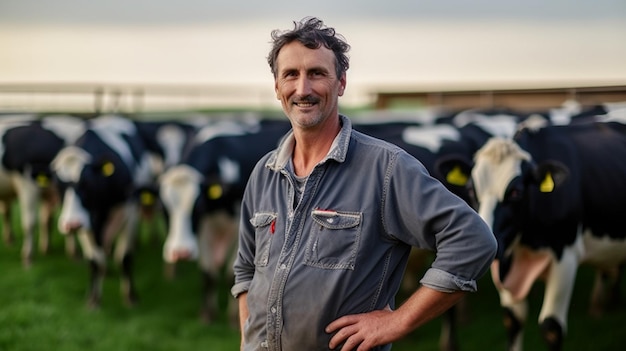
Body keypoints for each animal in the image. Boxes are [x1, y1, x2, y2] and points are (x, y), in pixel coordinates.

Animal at [52, 115, 157, 308]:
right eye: (58, 185)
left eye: (86, 183)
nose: (71, 224)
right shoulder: (86, 224)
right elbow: (94, 261)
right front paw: (93, 299)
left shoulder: (130, 212)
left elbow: (125, 258)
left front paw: (131, 297)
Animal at [158, 119, 290, 324]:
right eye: (163, 209)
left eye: (198, 207)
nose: (180, 253)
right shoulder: (203, 230)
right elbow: (208, 274)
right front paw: (207, 314)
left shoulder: (239, 229)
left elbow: (231, 275)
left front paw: (233, 317)